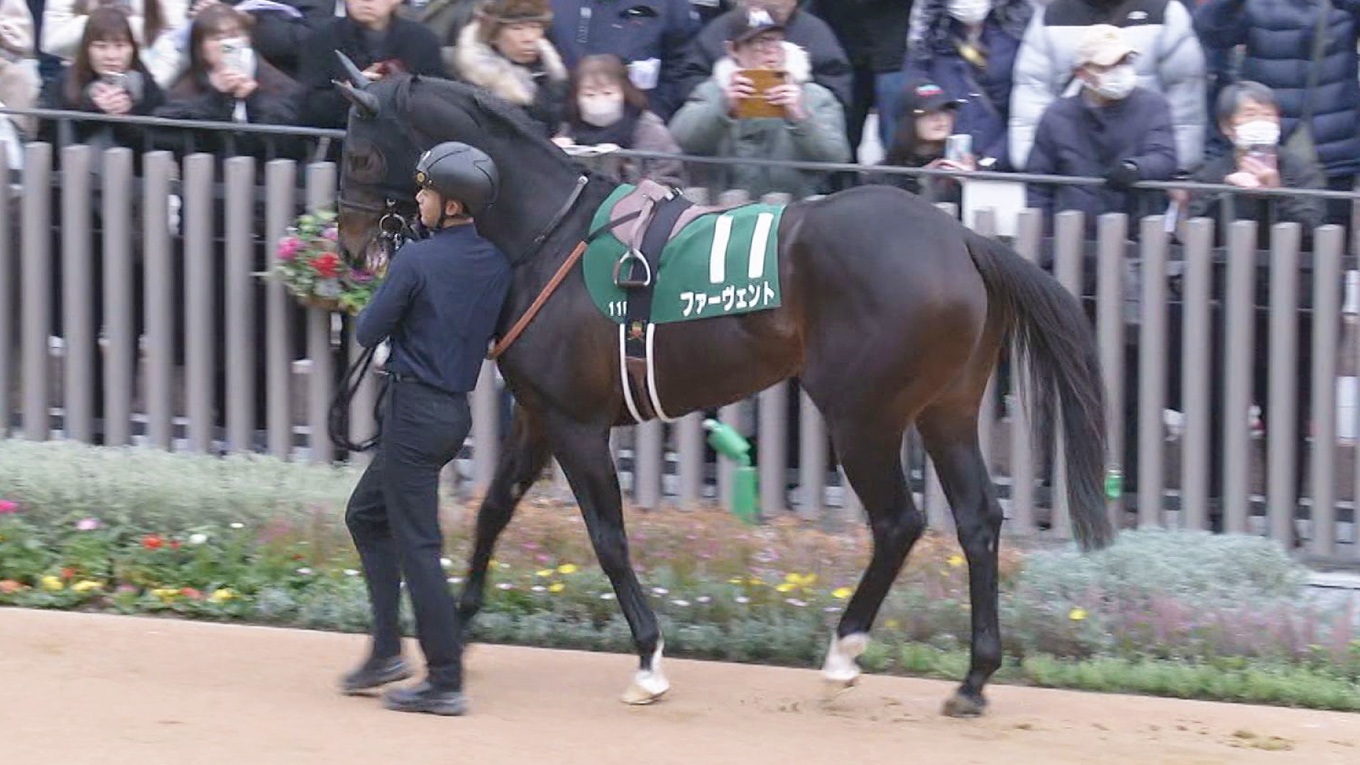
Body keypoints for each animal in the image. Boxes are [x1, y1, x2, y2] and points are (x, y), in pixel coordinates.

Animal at [331, 65, 1114, 717]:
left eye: (360, 156)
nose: (350, 244)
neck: (549, 234)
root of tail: (959, 241)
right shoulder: (541, 414)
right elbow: (494, 508)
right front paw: (455, 633)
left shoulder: (578, 424)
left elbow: (608, 538)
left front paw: (649, 660)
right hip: (945, 411)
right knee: (978, 520)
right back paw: (974, 679)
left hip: (861, 416)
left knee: (899, 522)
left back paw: (844, 652)